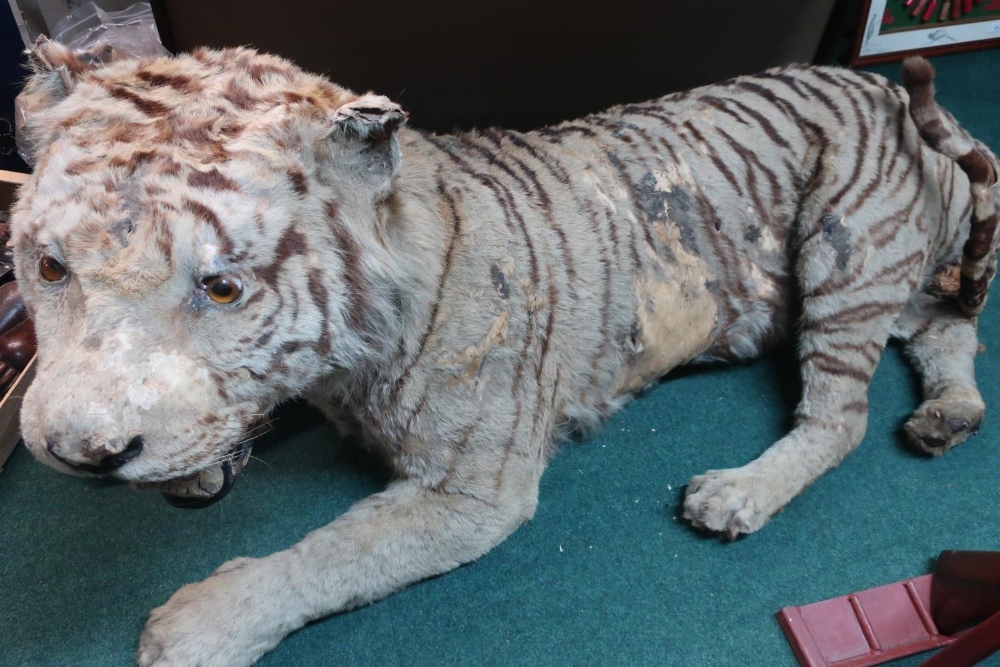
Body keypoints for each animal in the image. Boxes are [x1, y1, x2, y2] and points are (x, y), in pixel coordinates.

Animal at [9, 37, 1000, 667]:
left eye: (221, 288)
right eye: (50, 266)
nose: (79, 453)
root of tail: (889, 91)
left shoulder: (472, 491)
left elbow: (331, 555)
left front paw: (197, 626)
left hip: (847, 249)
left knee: (841, 416)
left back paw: (737, 493)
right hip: (894, 274)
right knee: (952, 324)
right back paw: (947, 415)